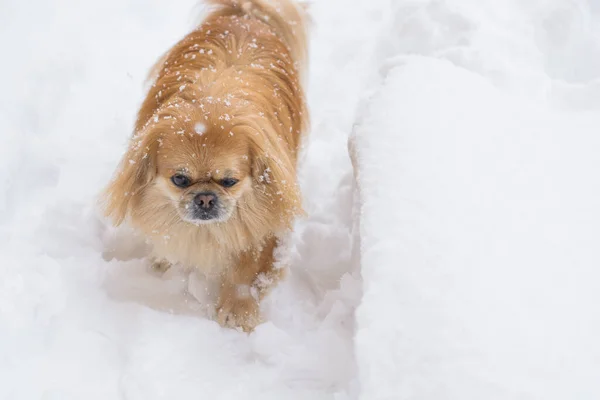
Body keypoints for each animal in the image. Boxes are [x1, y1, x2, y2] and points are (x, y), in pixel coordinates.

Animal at [101, 0, 308, 332]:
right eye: (180, 180)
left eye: (229, 181)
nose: (206, 198)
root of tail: (246, 15)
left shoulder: (263, 220)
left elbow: (247, 269)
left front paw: (237, 310)